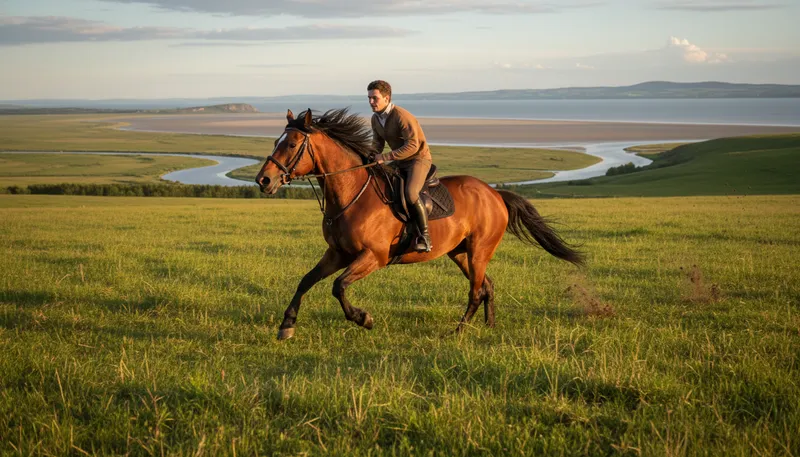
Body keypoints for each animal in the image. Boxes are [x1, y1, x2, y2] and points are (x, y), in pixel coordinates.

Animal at [256, 108, 584, 340]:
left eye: (293, 144)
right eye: (275, 141)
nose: (264, 180)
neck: (352, 192)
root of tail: (494, 194)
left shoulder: (374, 256)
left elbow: (338, 287)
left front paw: (364, 318)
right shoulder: (337, 253)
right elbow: (306, 280)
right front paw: (287, 325)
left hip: (479, 250)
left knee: (476, 291)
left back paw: (458, 332)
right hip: (460, 253)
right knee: (487, 286)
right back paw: (488, 327)